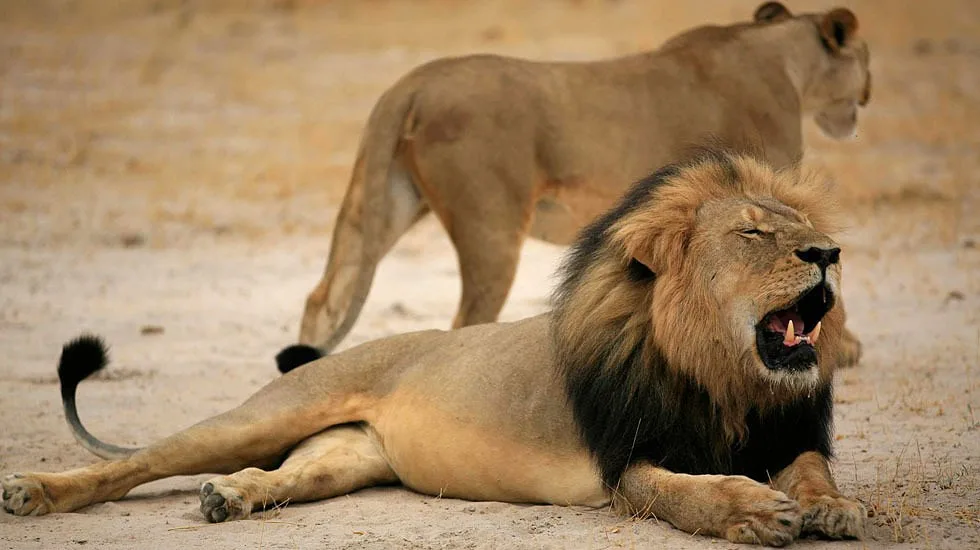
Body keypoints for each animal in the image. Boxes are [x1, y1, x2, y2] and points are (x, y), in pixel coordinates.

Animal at [3, 151, 865, 546]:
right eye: (753, 234)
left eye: (800, 228)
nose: (829, 253)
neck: (726, 378)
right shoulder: (626, 463)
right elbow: (689, 493)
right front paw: (754, 510)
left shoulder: (785, 431)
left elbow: (812, 469)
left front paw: (831, 507)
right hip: (265, 414)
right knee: (134, 464)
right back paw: (34, 492)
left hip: (345, 456)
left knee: (280, 475)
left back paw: (231, 498)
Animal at [286, 2, 872, 371]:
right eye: (865, 58)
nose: (867, 93)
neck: (785, 61)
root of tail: (412, 82)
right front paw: (840, 348)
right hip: (490, 227)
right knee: (465, 321)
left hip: (386, 201)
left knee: (324, 296)